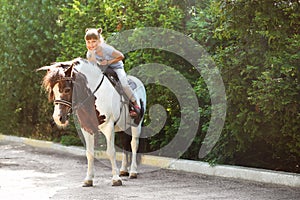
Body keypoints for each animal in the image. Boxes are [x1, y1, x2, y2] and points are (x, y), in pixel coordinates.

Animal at [38, 57, 146, 186]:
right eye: (52, 91)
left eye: (67, 89)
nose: (58, 118)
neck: (92, 96)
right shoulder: (86, 128)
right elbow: (89, 153)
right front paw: (88, 179)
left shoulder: (108, 126)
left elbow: (111, 152)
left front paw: (116, 179)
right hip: (122, 127)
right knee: (125, 144)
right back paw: (124, 170)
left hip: (136, 124)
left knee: (134, 145)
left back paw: (133, 171)